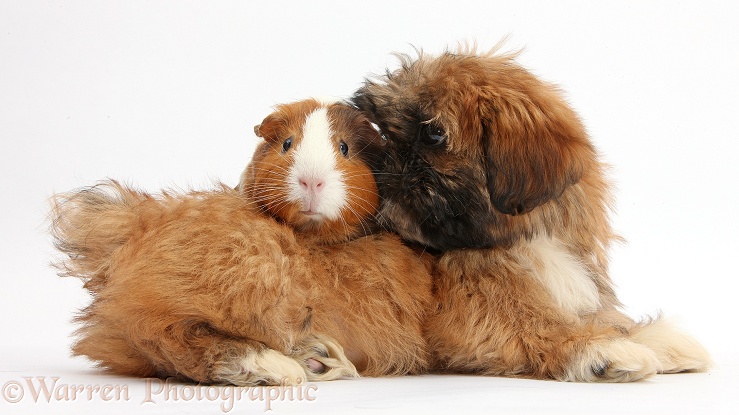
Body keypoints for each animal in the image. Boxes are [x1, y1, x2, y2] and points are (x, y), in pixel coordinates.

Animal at [52, 99, 434, 386]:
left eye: (345, 148)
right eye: (287, 144)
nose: (311, 180)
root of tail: (134, 225)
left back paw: (316, 359)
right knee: (173, 343)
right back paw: (287, 369)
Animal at [352, 48, 712, 384]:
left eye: (434, 134)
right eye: (386, 131)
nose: (383, 159)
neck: (531, 236)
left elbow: (603, 318)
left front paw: (653, 338)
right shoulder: (470, 314)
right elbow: (532, 325)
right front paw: (597, 349)